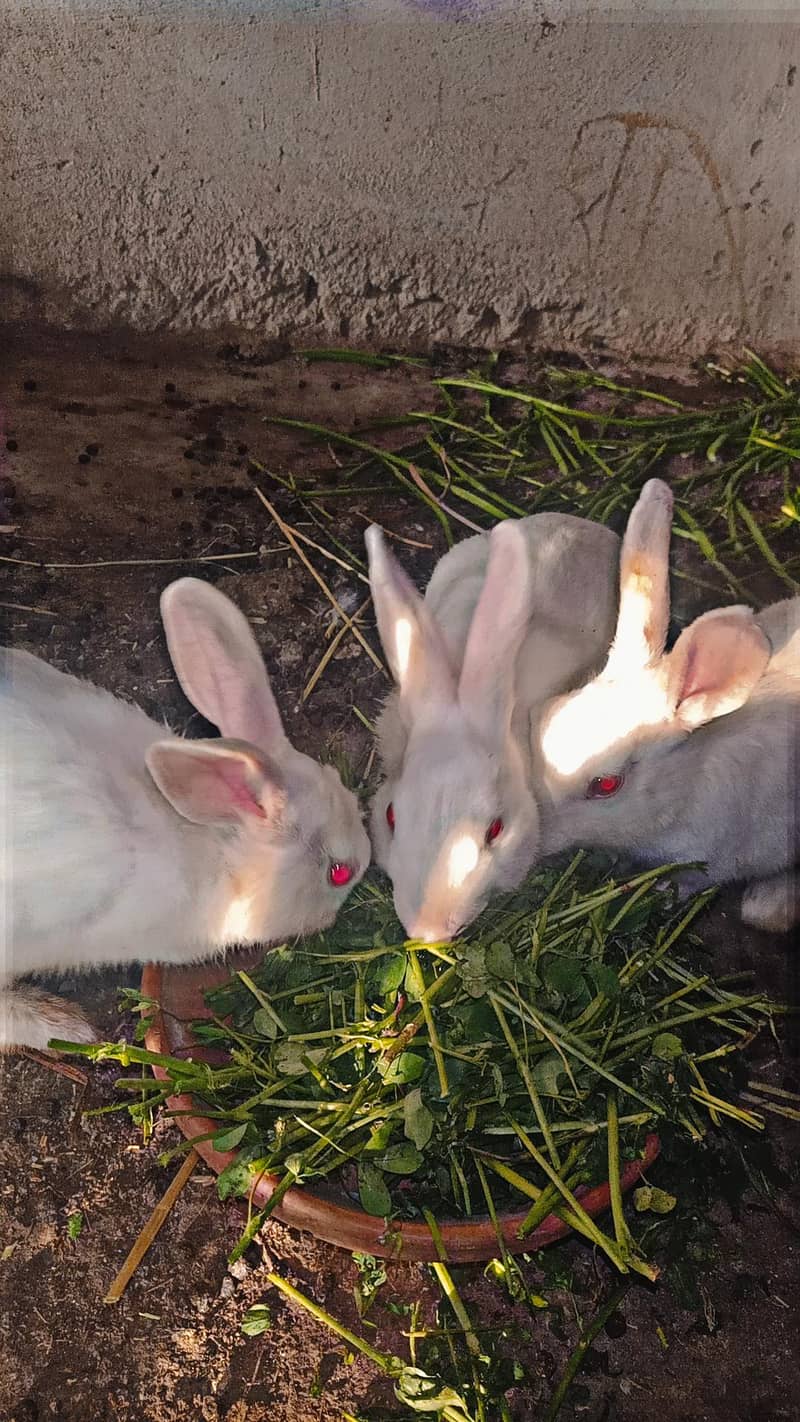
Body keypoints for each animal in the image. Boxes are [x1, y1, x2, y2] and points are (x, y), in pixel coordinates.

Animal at [537, 478, 800, 932]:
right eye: (547, 717)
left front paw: (661, 893)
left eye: (606, 785)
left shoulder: (712, 859)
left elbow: (689, 881)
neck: (683, 785)